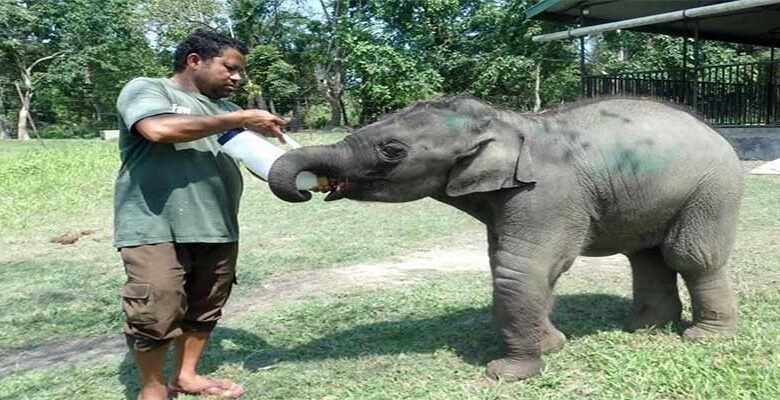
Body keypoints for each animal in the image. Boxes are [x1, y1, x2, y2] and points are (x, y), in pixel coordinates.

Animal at [266, 97, 743, 381]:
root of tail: (715, 132)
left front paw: (506, 374)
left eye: (393, 151)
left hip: (712, 189)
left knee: (689, 256)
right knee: (645, 256)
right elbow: (511, 264)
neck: (504, 120)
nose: (306, 189)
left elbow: (525, 267)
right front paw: (552, 346)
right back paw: (645, 329)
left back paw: (705, 338)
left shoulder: (545, 194)